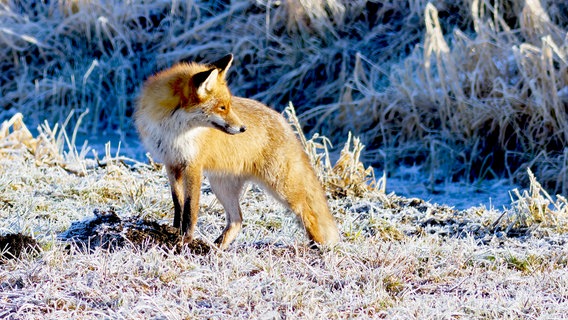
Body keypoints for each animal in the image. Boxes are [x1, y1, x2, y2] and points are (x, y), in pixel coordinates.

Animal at [135, 53, 340, 249]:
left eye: (228, 106)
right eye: (222, 107)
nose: (243, 128)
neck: (174, 131)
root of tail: (284, 121)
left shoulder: (193, 166)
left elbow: (190, 209)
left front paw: (185, 240)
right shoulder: (171, 163)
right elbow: (178, 203)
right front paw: (175, 231)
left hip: (281, 187)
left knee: (308, 213)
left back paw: (318, 247)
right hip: (222, 186)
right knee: (237, 220)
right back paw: (216, 248)